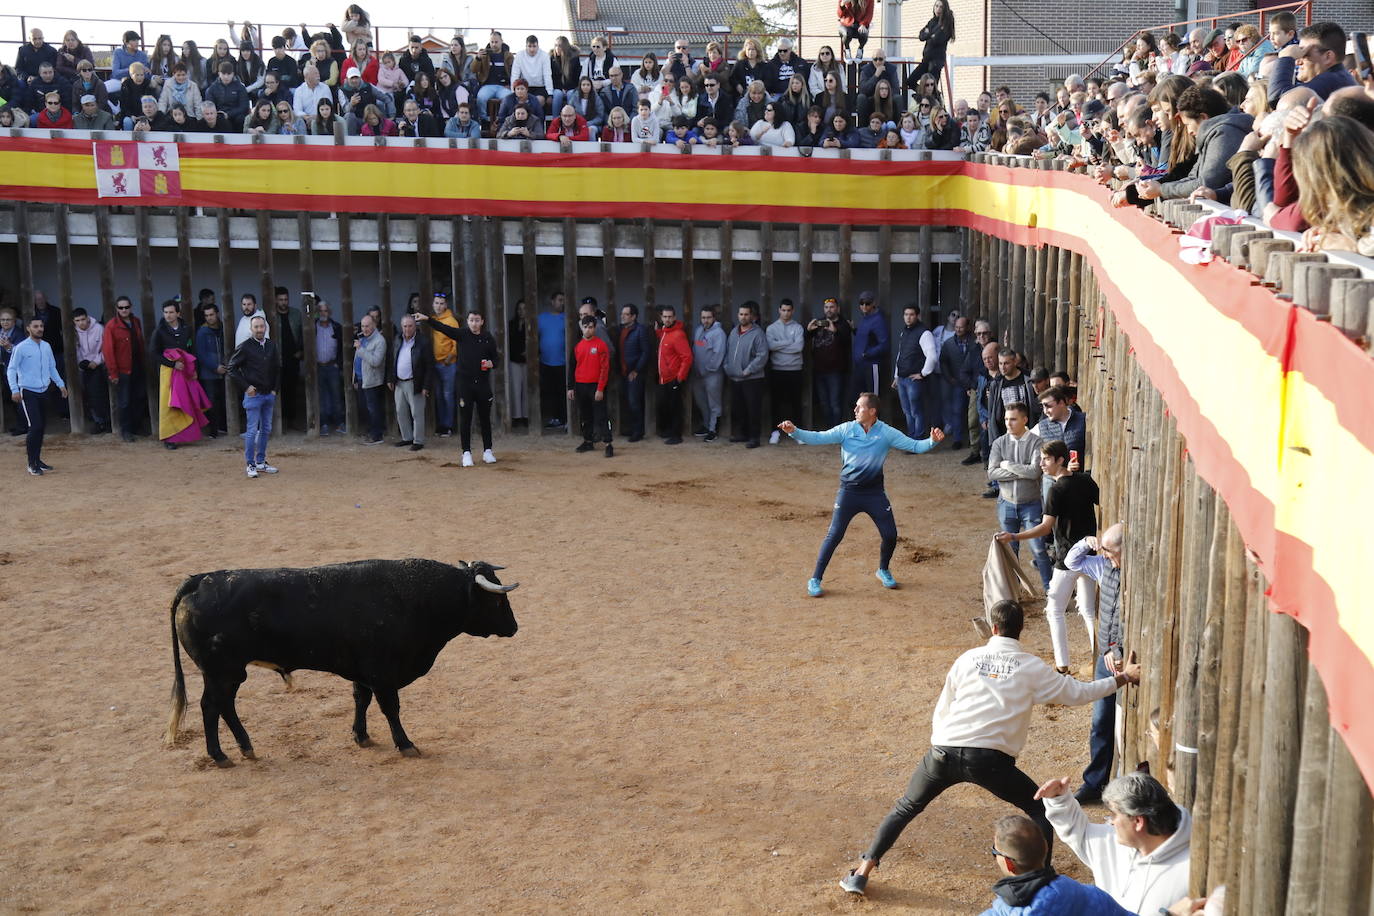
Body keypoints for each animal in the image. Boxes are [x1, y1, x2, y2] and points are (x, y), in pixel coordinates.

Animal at [166, 560, 516, 769]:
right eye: (498, 599)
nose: (514, 627)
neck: (412, 598)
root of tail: (199, 581)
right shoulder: (382, 673)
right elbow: (391, 709)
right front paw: (405, 744)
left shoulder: (363, 672)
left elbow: (361, 700)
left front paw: (361, 737)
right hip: (221, 672)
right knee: (211, 706)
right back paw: (220, 755)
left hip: (229, 673)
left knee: (224, 705)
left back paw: (245, 747)